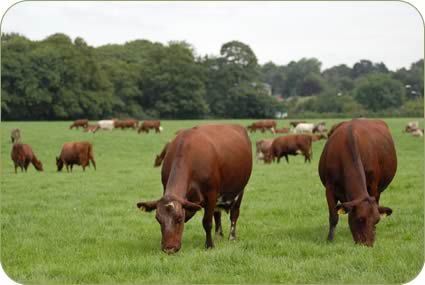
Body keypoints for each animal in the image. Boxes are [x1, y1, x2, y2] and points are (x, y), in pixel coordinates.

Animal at [137, 124, 252, 253]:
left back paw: (231, 237)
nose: (169, 249)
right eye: (158, 219)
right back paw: (218, 235)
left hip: (240, 190)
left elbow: (207, 221)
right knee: (217, 213)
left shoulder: (211, 194)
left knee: (234, 213)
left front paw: (209, 245)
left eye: (179, 219)